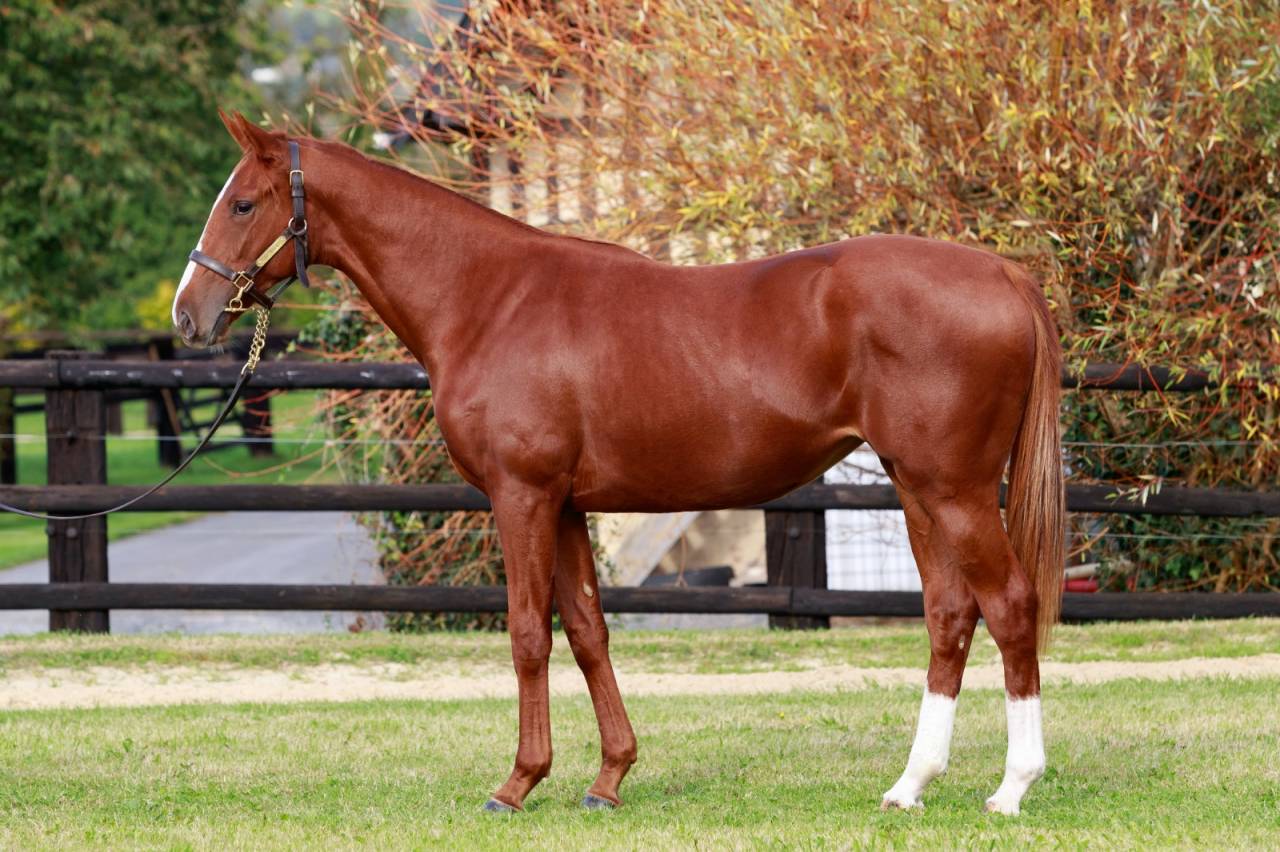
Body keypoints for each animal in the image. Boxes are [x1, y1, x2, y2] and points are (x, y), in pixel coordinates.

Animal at [173, 112, 1064, 816]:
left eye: (243, 203)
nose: (189, 314)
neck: (489, 299)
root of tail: (1003, 271)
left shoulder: (522, 497)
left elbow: (527, 633)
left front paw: (516, 784)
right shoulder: (565, 504)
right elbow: (588, 631)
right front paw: (607, 779)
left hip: (955, 491)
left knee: (1011, 605)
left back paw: (1013, 787)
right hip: (917, 487)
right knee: (950, 615)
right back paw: (910, 785)